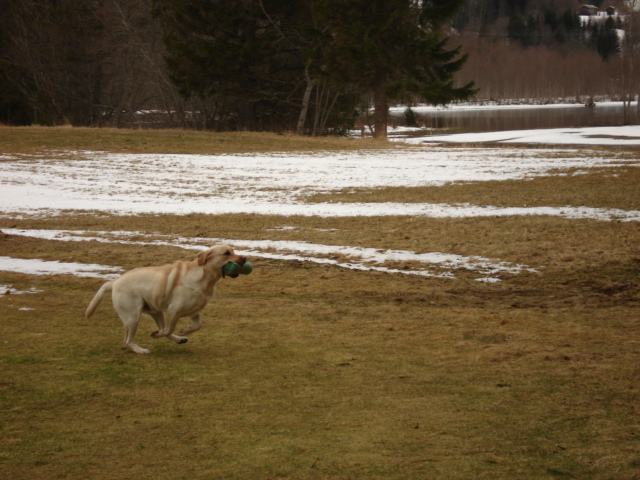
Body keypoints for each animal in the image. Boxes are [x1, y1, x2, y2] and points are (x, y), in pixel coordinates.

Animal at [85, 246, 245, 354]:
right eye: (226, 253)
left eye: (234, 251)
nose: (244, 258)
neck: (205, 278)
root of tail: (114, 282)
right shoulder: (174, 311)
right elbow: (169, 329)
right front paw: (157, 335)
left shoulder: (193, 311)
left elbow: (197, 325)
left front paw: (185, 331)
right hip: (132, 317)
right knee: (129, 340)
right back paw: (140, 350)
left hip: (155, 311)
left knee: (161, 327)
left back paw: (179, 339)